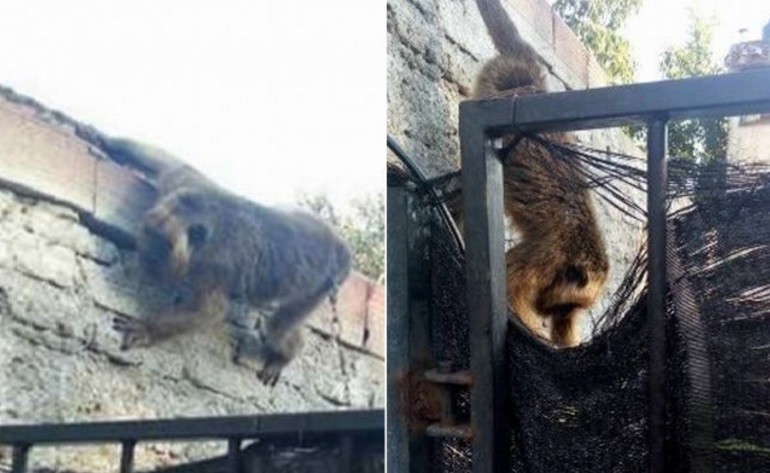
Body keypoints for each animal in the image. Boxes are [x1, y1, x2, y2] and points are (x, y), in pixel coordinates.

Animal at [96, 136, 352, 386]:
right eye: (149, 236)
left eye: (163, 245)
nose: (149, 261)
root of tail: (341, 249)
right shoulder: (181, 187)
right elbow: (172, 163)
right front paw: (100, 138)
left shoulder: (214, 263)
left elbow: (210, 310)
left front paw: (147, 329)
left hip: (321, 286)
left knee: (277, 328)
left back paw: (285, 355)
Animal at [468, 0, 610, 347]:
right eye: (568, 304)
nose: (560, 316)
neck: (578, 246)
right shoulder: (549, 253)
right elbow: (509, 288)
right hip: (499, 79)